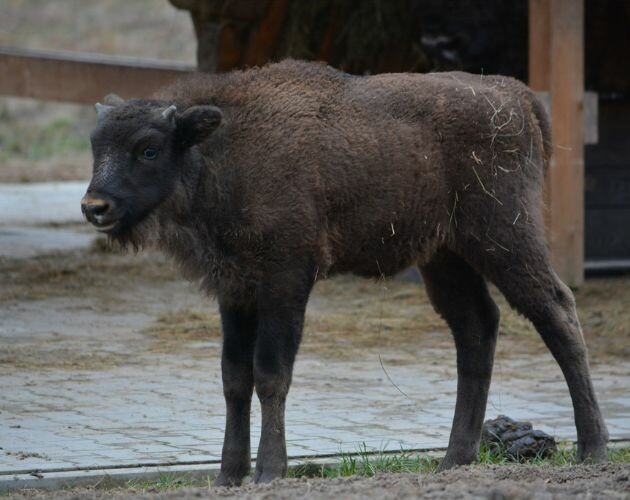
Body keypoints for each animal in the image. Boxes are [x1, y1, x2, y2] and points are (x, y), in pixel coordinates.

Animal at [81, 58, 608, 484]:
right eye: (96, 147)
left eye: (148, 149)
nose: (94, 206)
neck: (224, 149)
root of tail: (514, 96)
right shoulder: (235, 291)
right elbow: (234, 378)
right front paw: (227, 476)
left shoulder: (286, 281)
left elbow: (270, 373)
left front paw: (269, 472)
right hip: (445, 256)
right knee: (476, 328)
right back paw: (454, 459)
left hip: (504, 239)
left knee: (557, 311)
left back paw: (592, 448)